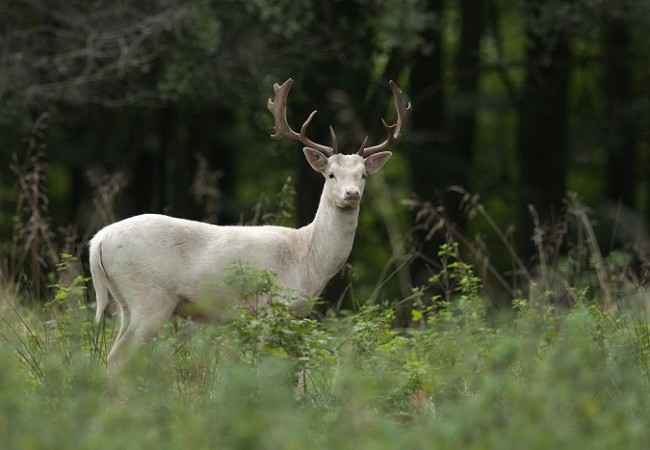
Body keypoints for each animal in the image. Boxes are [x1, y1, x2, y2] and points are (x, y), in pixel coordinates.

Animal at [90, 79, 410, 368]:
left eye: (363, 175)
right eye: (331, 174)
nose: (351, 193)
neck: (307, 260)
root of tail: (99, 241)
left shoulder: (296, 314)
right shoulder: (269, 307)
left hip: (125, 301)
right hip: (149, 297)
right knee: (119, 356)